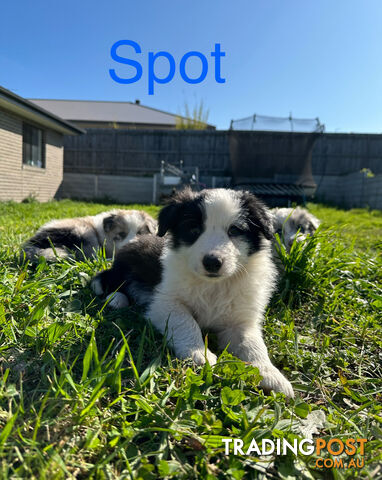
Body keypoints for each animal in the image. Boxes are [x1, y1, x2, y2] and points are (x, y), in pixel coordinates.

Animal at [91, 188, 294, 398]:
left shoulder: (240, 319)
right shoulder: (164, 302)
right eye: (194, 229)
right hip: (124, 268)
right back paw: (116, 298)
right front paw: (199, 354)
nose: (212, 262)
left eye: (234, 230)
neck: (213, 285)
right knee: (105, 280)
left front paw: (270, 374)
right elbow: (186, 322)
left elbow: (253, 343)